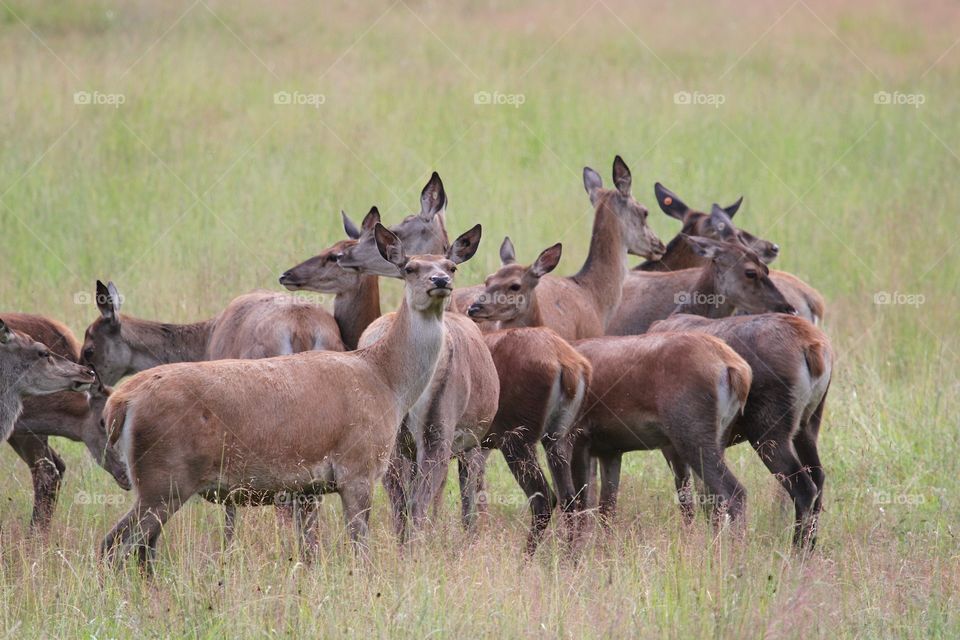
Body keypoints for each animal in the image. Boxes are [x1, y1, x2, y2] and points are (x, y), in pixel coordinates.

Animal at [101, 222, 484, 568]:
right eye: (409, 268)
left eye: (451, 266)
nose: (440, 282)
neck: (386, 381)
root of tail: (120, 402)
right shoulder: (357, 467)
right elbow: (361, 551)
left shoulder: (309, 486)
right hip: (163, 478)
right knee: (114, 544)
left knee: (134, 546)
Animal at [648, 312, 836, 548]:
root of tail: (814, 346)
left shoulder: (674, 445)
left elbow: (690, 498)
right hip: (807, 426)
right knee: (818, 477)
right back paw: (809, 546)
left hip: (768, 433)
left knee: (803, 488)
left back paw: (796, 550)